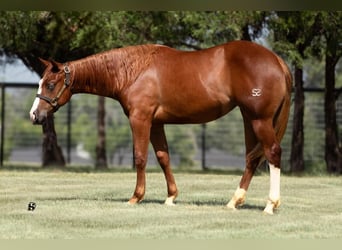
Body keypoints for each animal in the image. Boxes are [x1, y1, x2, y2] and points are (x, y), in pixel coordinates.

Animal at [30, 41, 292, 215]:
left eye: (50, 84)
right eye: (40, 82)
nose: (35, 115)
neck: (133, 71)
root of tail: (277, 60)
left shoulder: (141, 119)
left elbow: (140, 157)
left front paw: (136, 197)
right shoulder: (156, 123)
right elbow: (163, 157)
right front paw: (171, 197)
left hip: (259, 120)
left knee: (272, 153)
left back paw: (270, 204)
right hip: (249, 119)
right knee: (252, 158)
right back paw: (234, 201)